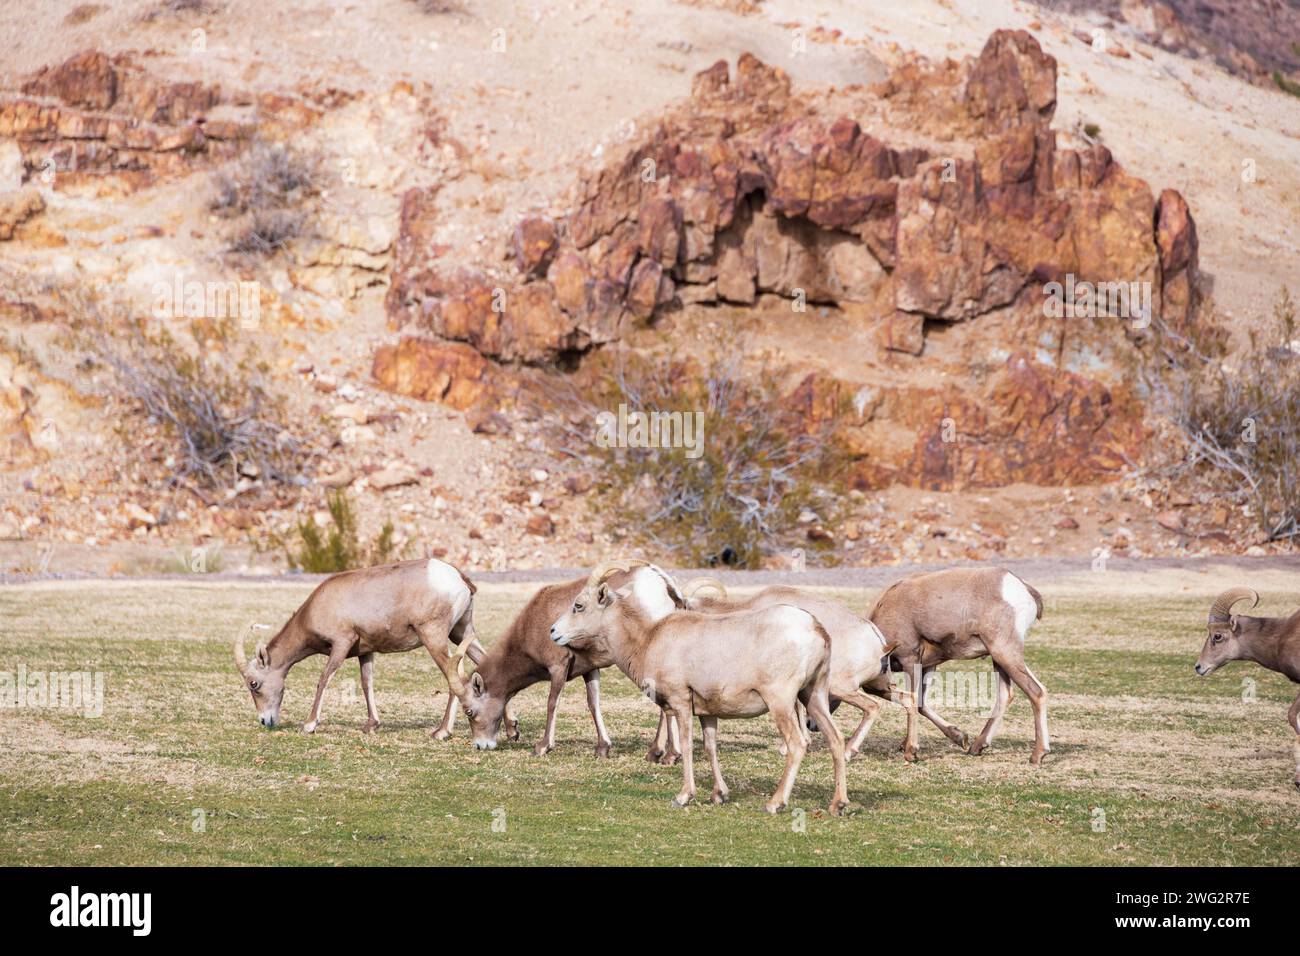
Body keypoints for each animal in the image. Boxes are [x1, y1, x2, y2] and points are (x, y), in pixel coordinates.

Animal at [550, 560, 850, 815]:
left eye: (579, 605)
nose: (553, 632)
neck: (648, 639)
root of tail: (817, 629)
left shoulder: (681, 702)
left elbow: (686, 745)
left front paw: (684, 796)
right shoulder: (708, 712)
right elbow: (709, 746)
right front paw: (719, 795)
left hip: (781, 702)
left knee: (798, 744)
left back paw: (775, 803)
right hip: (814, 695)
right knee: (836, 739)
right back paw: (838, 804)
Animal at [680, 578, 914, 761]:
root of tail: (880, 643)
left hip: (843, 688)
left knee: (872, 707)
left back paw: (849, 751)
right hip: (878, 687)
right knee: (908, 700)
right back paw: (910, 751)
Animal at [870, 567, 1049, 764]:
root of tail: (1022, 588)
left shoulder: (910, 659)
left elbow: (913, 700)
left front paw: (910, 751)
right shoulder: (928, 665)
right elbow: (920, 703)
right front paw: (959, 737)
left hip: (1005, 653)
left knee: (1036, 692)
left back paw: (1037, 755)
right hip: (1000, 658)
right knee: (1006, 695)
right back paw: (976, 747)